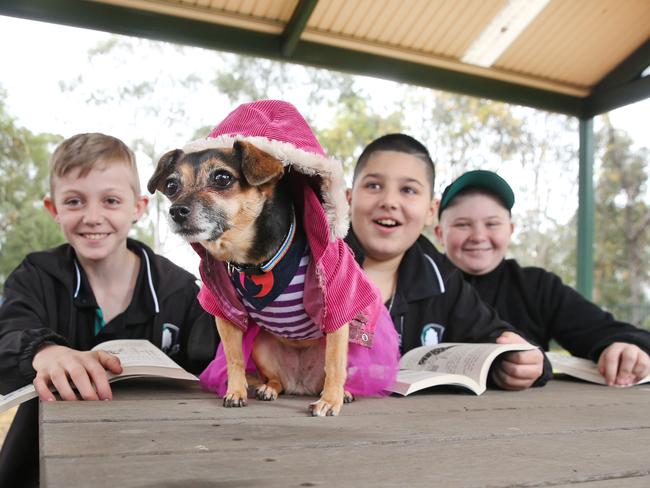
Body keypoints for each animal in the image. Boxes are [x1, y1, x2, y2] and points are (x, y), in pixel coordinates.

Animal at [147, 140, 350, 416]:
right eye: (171, 186)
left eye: (222, 178)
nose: (176, 211)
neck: (251, 261)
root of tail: (300, 385)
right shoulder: (224, 313)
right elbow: (234, 359)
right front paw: (235, 392)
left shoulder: (337, 306)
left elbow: (335, 363)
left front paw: (330, 401)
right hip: (261, 346)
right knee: (276, 380)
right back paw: (268, 389)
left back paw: (343, 393)